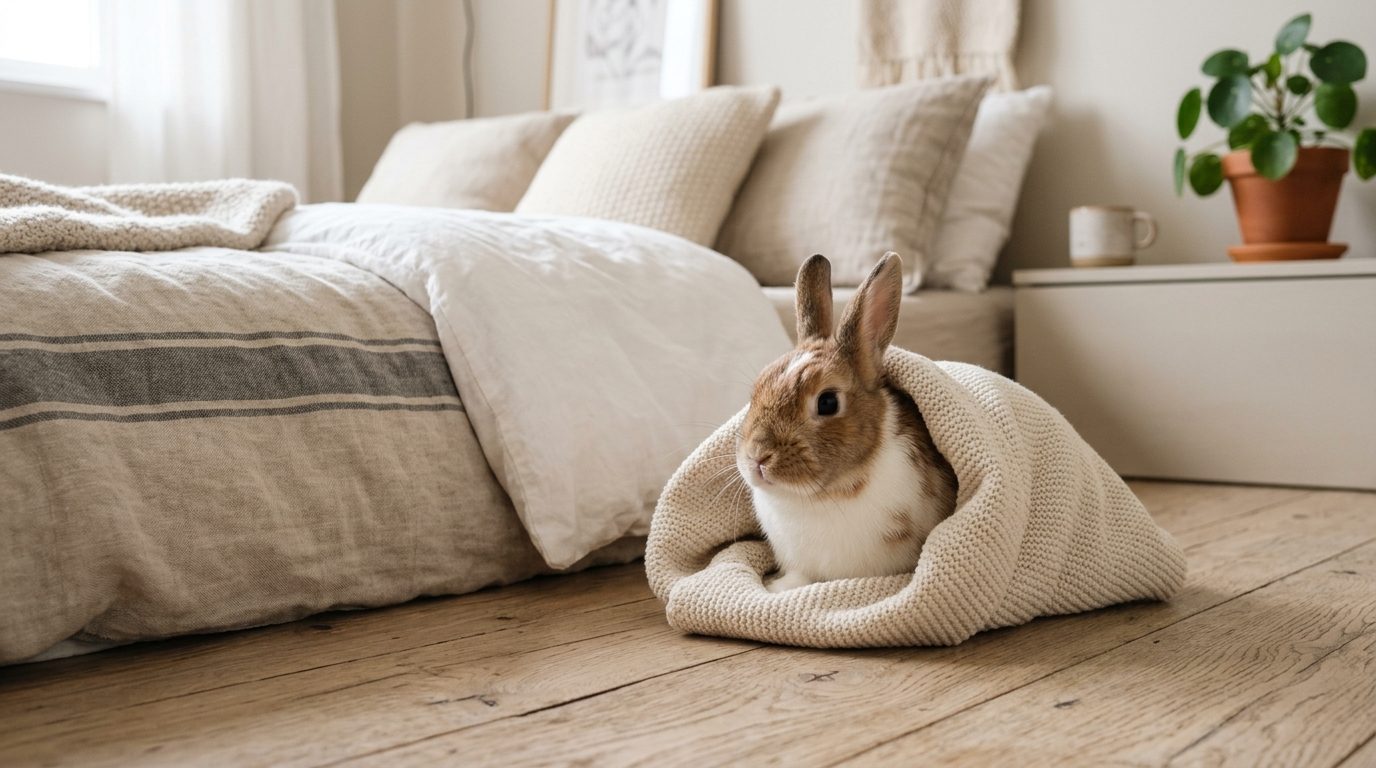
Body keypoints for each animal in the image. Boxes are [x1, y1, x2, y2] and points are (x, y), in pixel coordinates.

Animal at [736, 252, 957, 592]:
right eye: (758, 387)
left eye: (827, 402)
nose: (758, 457)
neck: (823, 495)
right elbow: (798, 578)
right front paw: (776, 588)